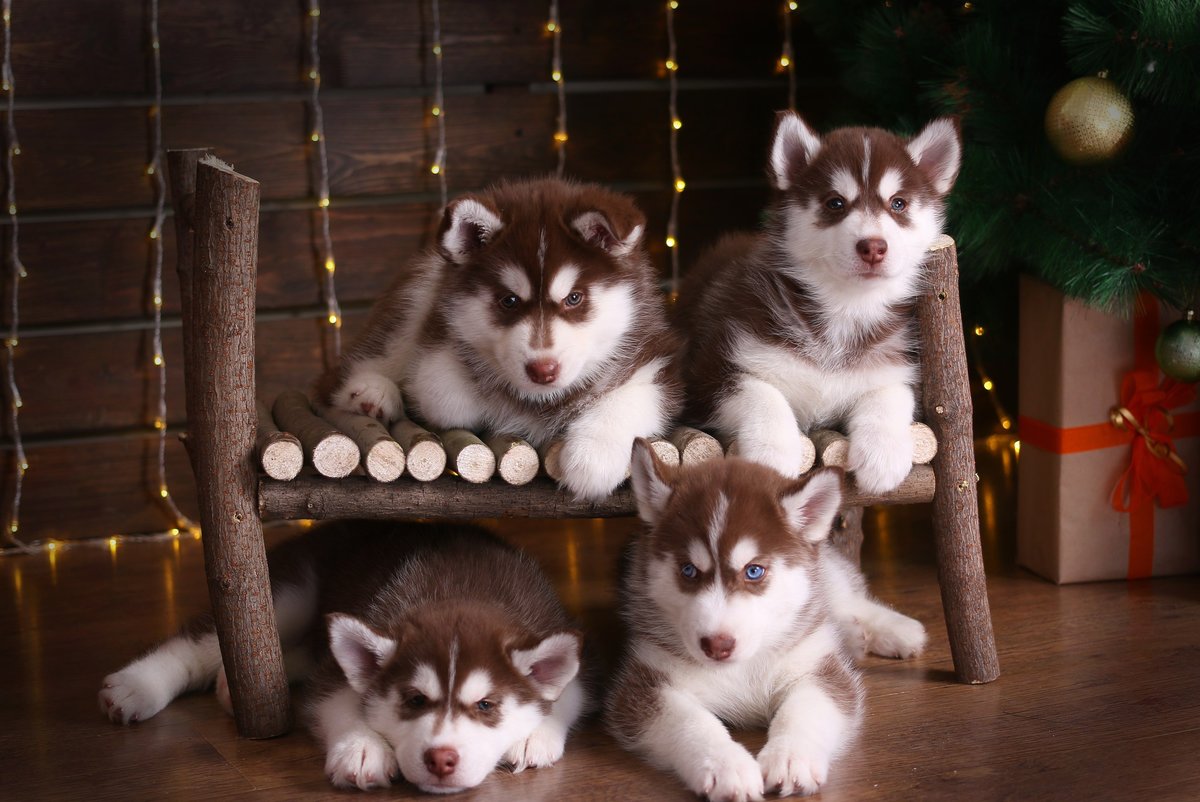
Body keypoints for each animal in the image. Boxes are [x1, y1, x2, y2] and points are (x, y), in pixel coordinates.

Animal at [98, 521, 585, 797]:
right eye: (414, 700)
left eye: (486, 705)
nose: (440, 760)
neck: (463, 589)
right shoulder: (336, 673)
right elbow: (335, 700)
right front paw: (363, 748)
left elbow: (570, 694)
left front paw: (534, 736)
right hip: (282, 593)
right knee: (198, 643)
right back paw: (137, 686)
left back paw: (230, 687)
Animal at [314, 178, 681, 497]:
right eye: (509, 300)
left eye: (574, 298)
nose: (542, 370)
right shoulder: (437, 326)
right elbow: (442, 395)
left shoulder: (657, 357)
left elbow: (632, 400)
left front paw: (594, 456)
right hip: (421, 286)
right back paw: (370, 392)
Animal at [604, 441, 921, 797]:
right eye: (688, 571)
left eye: (754, 571)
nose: (717, 645)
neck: (744, 666)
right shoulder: (645, 685)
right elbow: (691, 722)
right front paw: (726, 766)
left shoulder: (818, 669)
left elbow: (804, 709)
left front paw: (791, 757)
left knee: (843, 596)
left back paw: (896, 629)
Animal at [681, 109, 960, 492]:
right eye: (835, 203)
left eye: (898, 204)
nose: (873, 246)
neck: (846, 308)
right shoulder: (708, 372)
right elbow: (761, 393)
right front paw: (774, 450)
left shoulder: (899, 364)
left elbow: (891, 393)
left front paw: (884, 451)